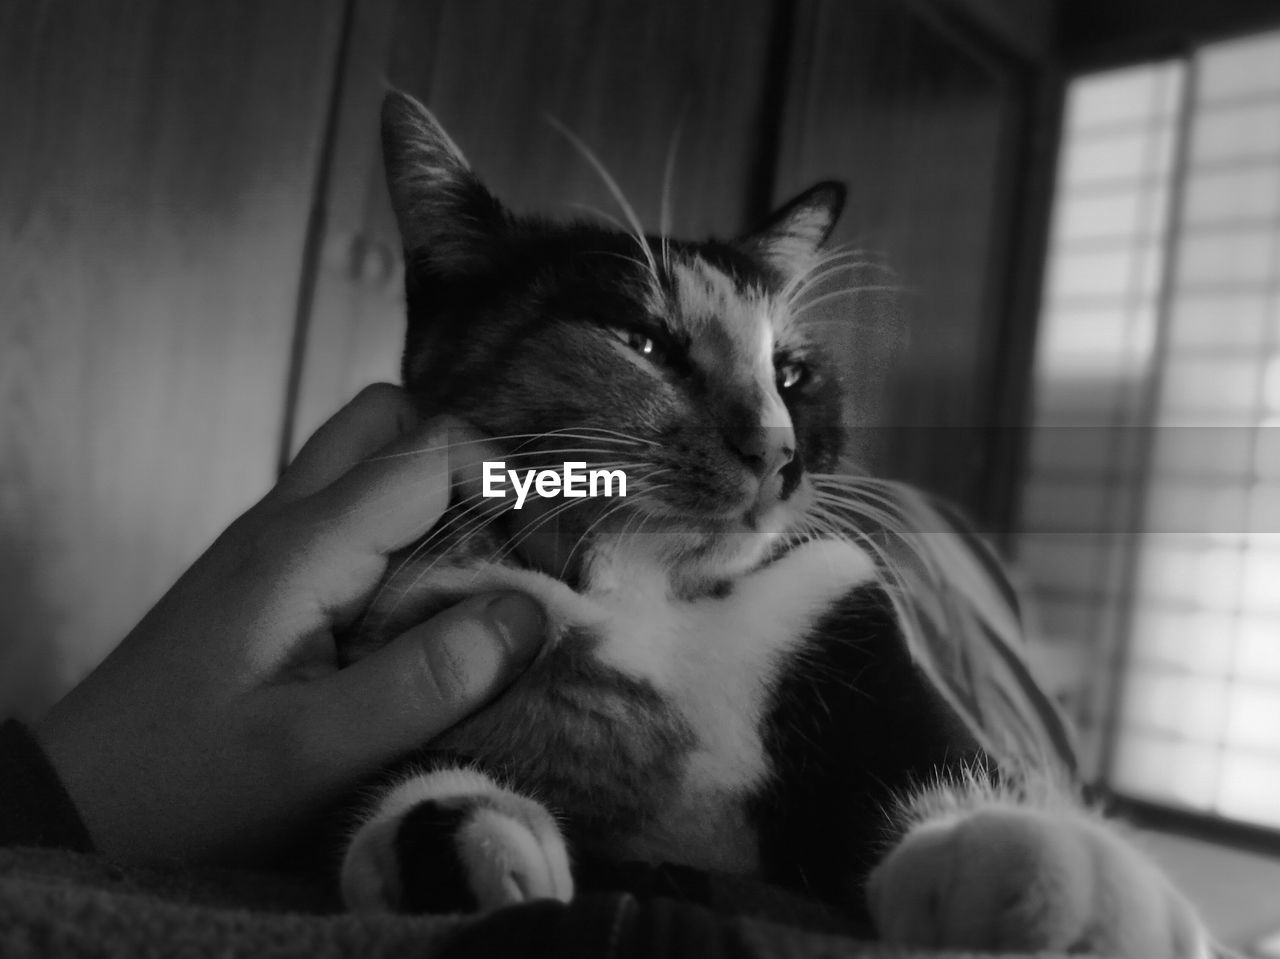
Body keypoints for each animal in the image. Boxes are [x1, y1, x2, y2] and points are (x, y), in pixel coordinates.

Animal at [335, 91, 1213, 957]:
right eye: (640, 340)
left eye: (792, 373)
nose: (777, 452)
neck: (657, 596)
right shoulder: (434, 605)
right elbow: (391, 778)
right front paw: (470, 844)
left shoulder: (845, 616)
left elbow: (960, 773)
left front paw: (1053, 872)